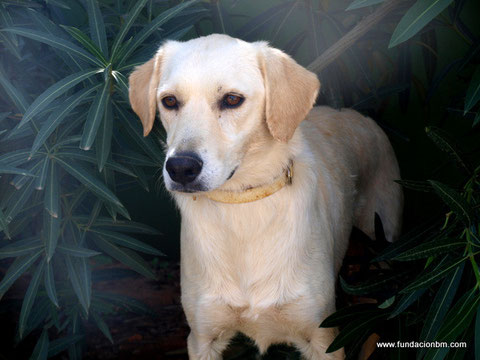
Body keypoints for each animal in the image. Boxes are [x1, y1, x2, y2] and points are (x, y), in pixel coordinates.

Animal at [127, 34, 402, 360]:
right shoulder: (202, 338)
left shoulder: (323, 338)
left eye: (232, 99)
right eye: (169, 101)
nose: (180, 168)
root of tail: (356, 114)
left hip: (385, 244)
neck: (244, 208)